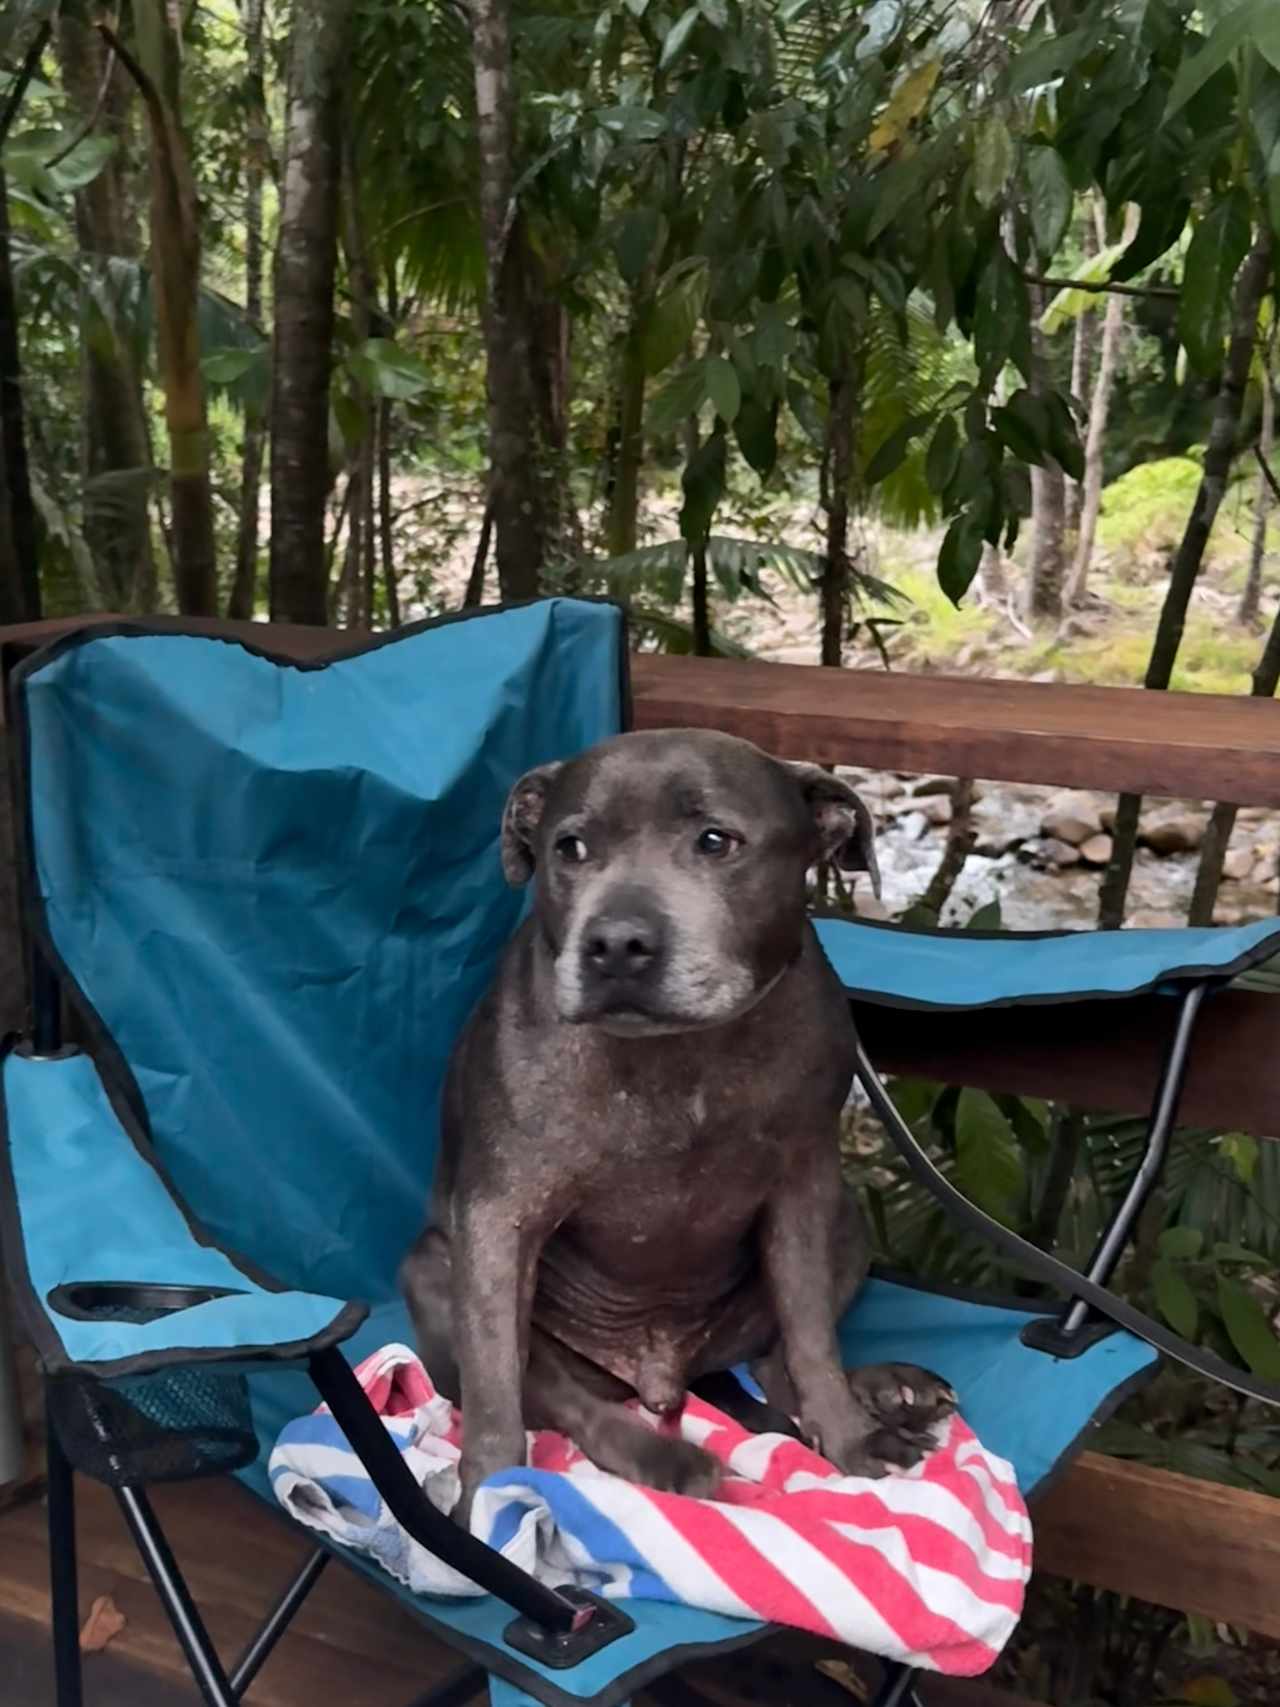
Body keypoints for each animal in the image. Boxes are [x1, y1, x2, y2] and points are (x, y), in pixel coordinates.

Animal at [406, 727, 955, 1515]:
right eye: (569, 847)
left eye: (716, 840)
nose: (616, 944)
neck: (680, 1050)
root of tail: (665, 1374)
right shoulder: (498, 1220)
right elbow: (495, 1389)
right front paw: (486, 1497)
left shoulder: (804, 1190)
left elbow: (812, 1337)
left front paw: (851, 1440)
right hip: (432, 1266)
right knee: (561, 1395)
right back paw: (663, 1458)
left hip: (846, 1223)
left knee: (776, 1360)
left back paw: (885, 1391)